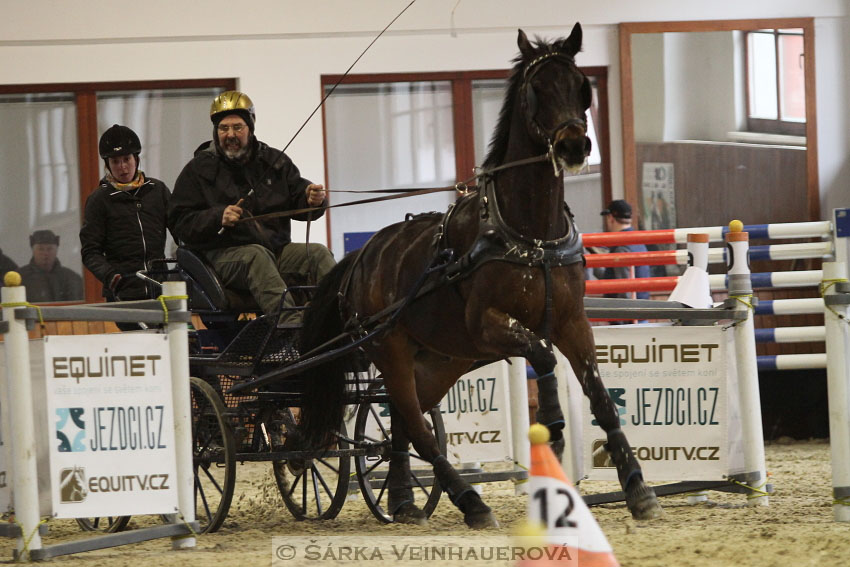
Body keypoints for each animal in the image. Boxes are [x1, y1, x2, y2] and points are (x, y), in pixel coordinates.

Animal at [298, 22, 664, 528]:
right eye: (536, 89)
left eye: (581, 86)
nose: (573, 145)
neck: (531, 234)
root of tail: (363, 255)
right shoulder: (489, 323)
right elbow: (542, 356)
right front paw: (552, 430)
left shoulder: (573, 323)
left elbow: (602, 401)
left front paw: (638, 489)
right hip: (390, 348)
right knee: (415, 424)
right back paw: (470, 502)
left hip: (441, 360)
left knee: (402, 423)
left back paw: (404, 501)